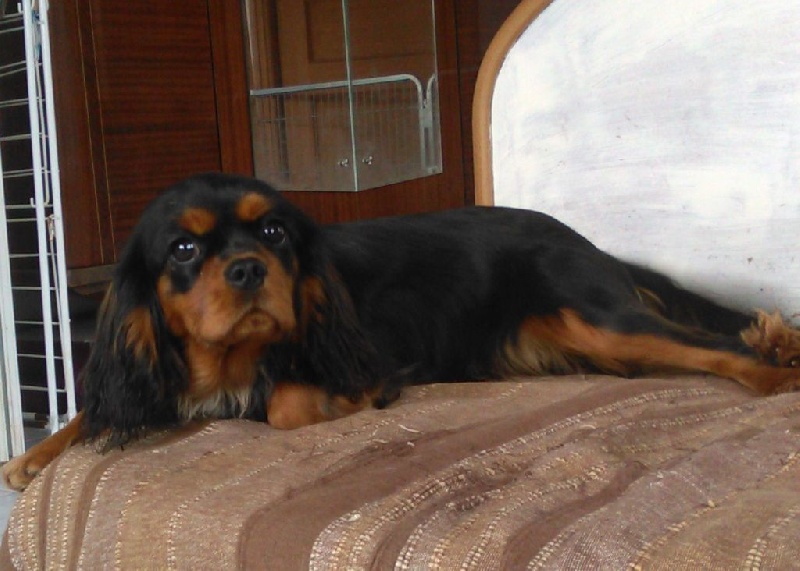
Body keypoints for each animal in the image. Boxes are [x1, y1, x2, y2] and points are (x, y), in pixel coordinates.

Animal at [4, 172, 800, 490]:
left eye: (273, 231)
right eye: (183, 249)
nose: (249, 268)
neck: (224, 358)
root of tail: (583, 241)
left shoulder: (369, 357)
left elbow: (286, 402)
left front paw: (327, 401)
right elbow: (95, 411)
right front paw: (31, 456)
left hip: (597, 317)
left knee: (718, 347)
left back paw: (775, 371)